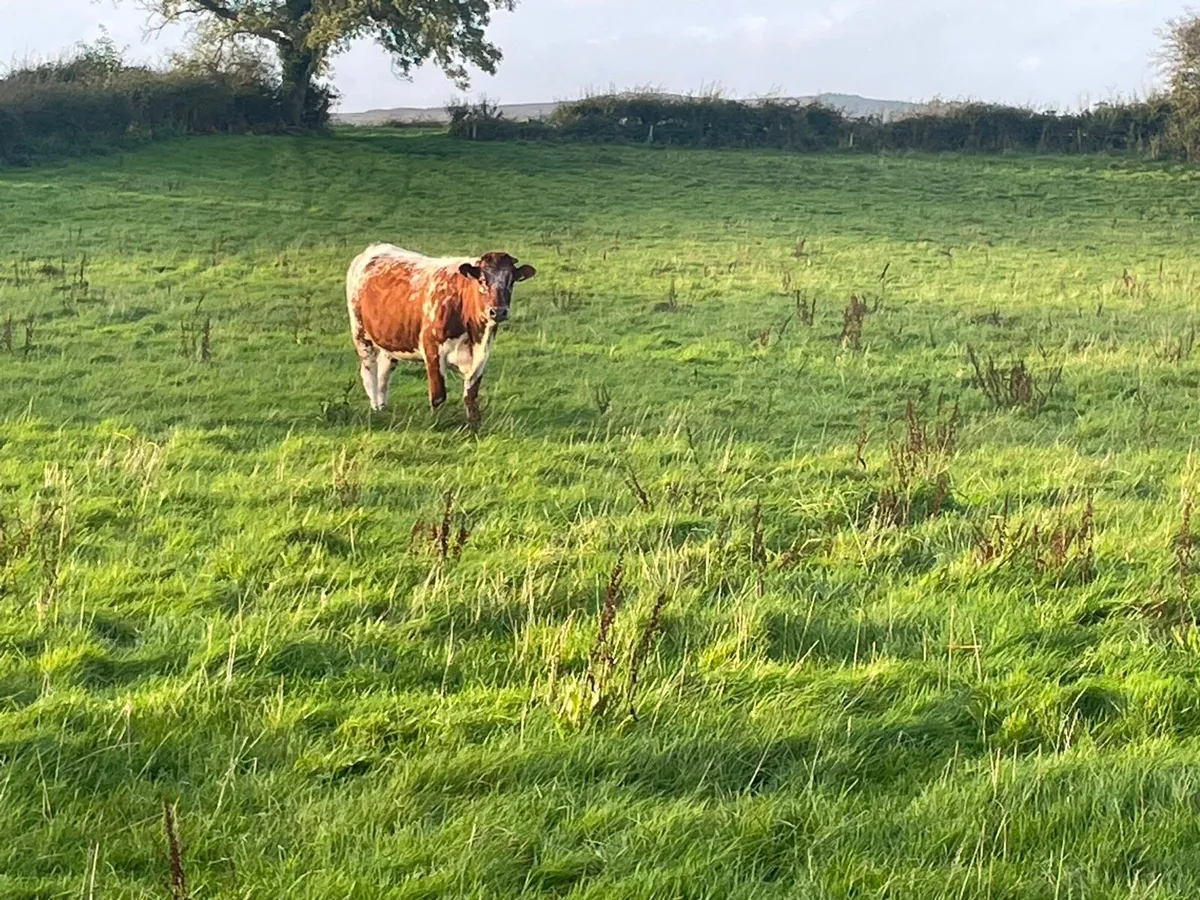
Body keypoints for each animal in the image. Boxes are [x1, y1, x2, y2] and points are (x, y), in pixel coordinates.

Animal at [345, 244, 536, 427]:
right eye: (482, 280)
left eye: (511, 281)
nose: (498, 311)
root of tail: (373, 248)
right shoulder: (432, 350)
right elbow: (438, 395)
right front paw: (438, 423)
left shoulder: (482, 356)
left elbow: (471, 395)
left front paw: (474, 425)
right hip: (360, 334)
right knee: (369, 372)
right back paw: (375, 408)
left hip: (391, 339)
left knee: (384, 374)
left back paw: (383, 407)